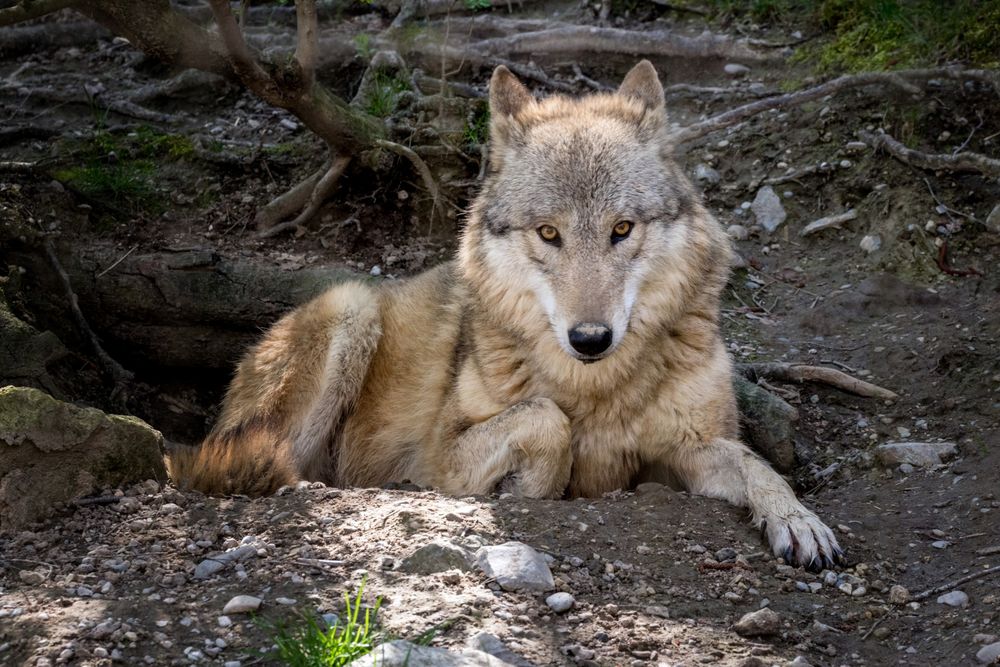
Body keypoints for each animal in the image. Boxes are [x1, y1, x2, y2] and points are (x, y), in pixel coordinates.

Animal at [172, 62, 844, 572]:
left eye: (622, 229)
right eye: (548, 233)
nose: (591, 338)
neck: (595, 388)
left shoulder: (689, 448)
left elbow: (758, 466)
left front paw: (798, 520)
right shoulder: (443, 455)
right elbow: (548, 422)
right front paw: (531, 489)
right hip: (351, 309)